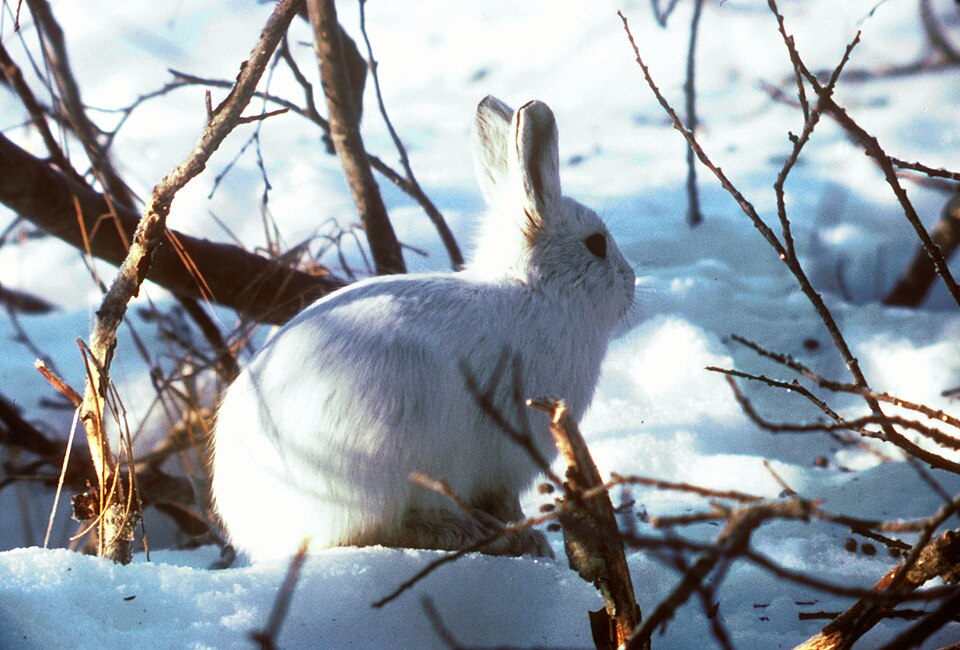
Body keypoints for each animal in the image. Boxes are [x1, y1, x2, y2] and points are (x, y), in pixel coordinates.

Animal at [211, 96, 636, 561]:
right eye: (596, 244)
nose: (631, 282)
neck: (537, 291)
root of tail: (261, 527)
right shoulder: (506, 455)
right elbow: (505, 500)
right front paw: (529, 537)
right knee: (371, 533)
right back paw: (467, 533)